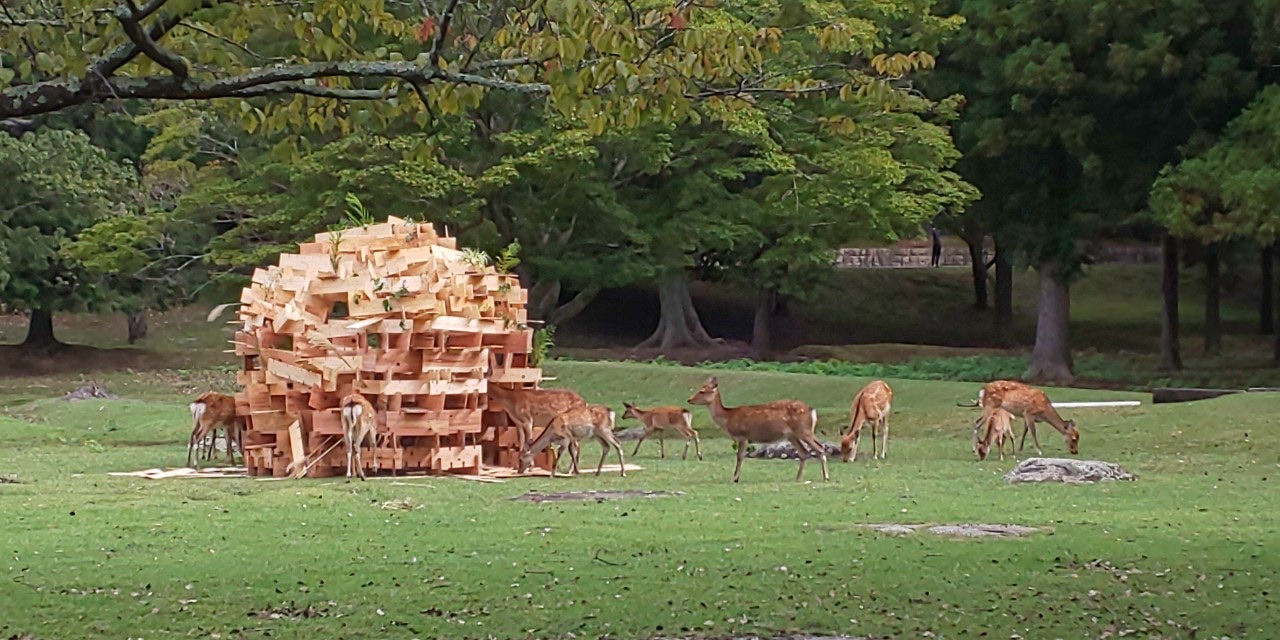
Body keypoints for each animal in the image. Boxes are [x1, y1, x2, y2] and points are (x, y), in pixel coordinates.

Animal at [686, 373, 824, 483]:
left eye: (702, 391)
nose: (689, 399)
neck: (728, 417)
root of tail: (812, 410)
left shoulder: (742, 435)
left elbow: (740, 456)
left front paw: (734, 479)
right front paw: (736, 478)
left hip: (804, 430)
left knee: (820, 448)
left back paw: (825, 477)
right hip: (793, 435)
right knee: (804, 452)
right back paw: (798, 478)